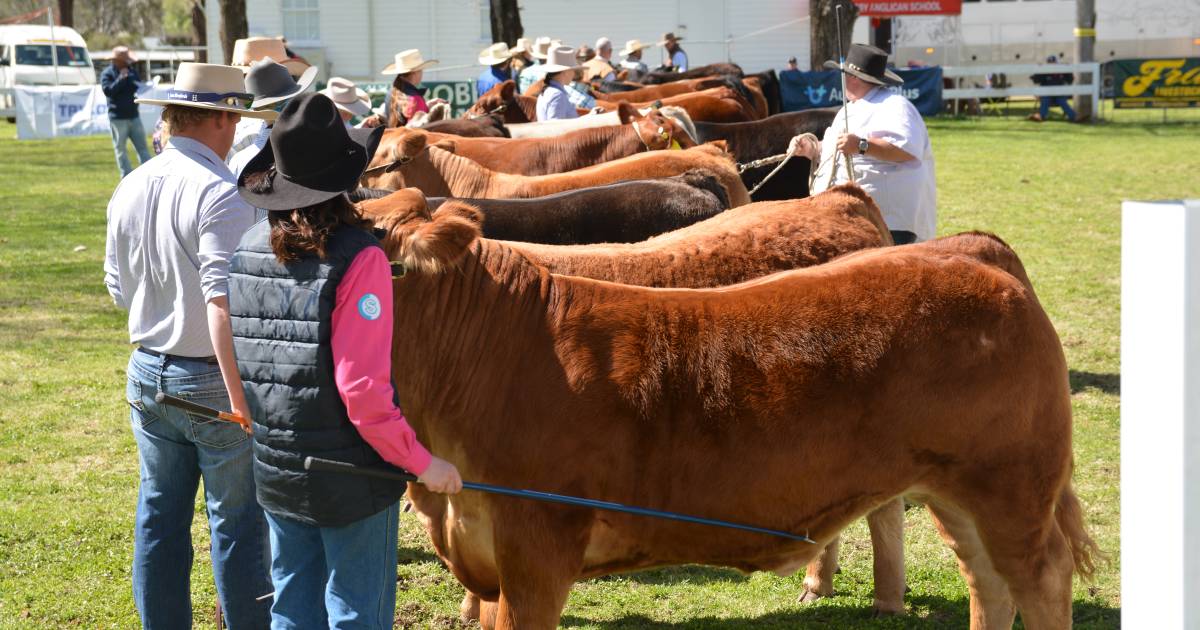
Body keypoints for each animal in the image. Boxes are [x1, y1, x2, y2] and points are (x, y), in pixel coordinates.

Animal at [372, 204, 1099, 624]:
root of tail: (965, 249)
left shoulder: (537, 550)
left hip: (1012, 489)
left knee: (1041, 578)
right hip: (954, 490)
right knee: (988, 582)